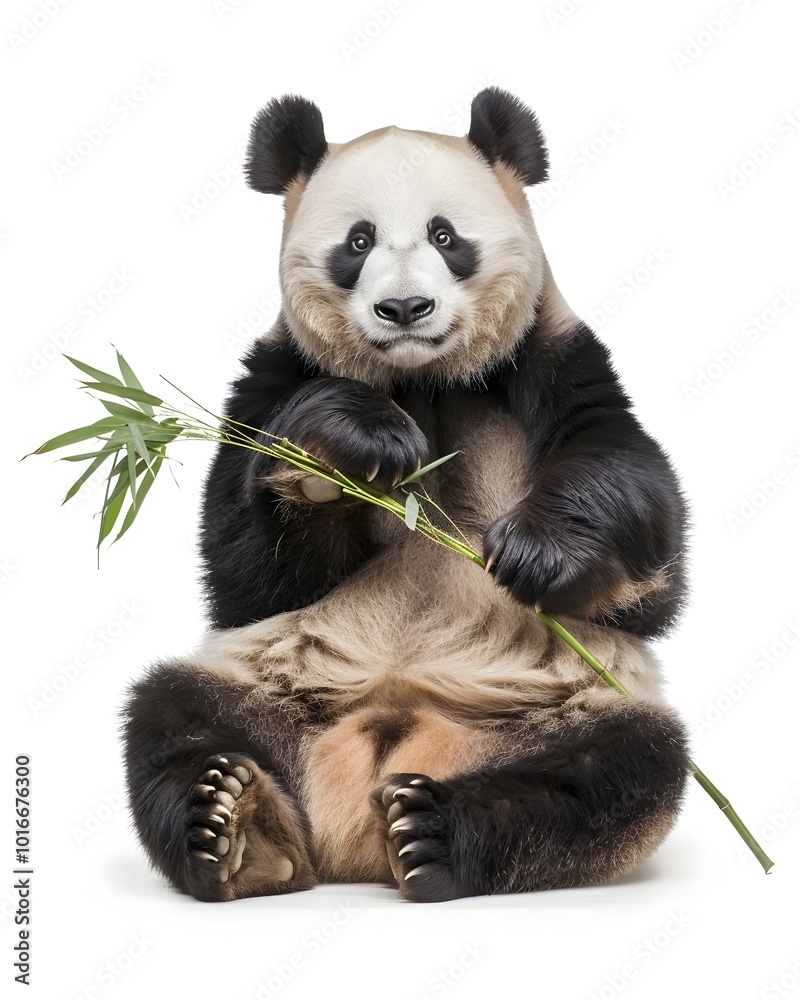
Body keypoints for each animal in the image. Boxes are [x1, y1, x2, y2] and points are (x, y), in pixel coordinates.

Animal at [123, 88, 690, 903]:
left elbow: (639, 525)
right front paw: (358, 442)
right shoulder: (278, 374)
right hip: (264, 687)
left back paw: (433, 832)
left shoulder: (554, 359)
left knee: (617, 768)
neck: (423, 380)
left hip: (556, 702)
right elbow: (244, 574)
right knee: (171, 715)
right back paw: (233, 825)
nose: (405, 309)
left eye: (445, 235)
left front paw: (536, 554)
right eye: (358, 242)